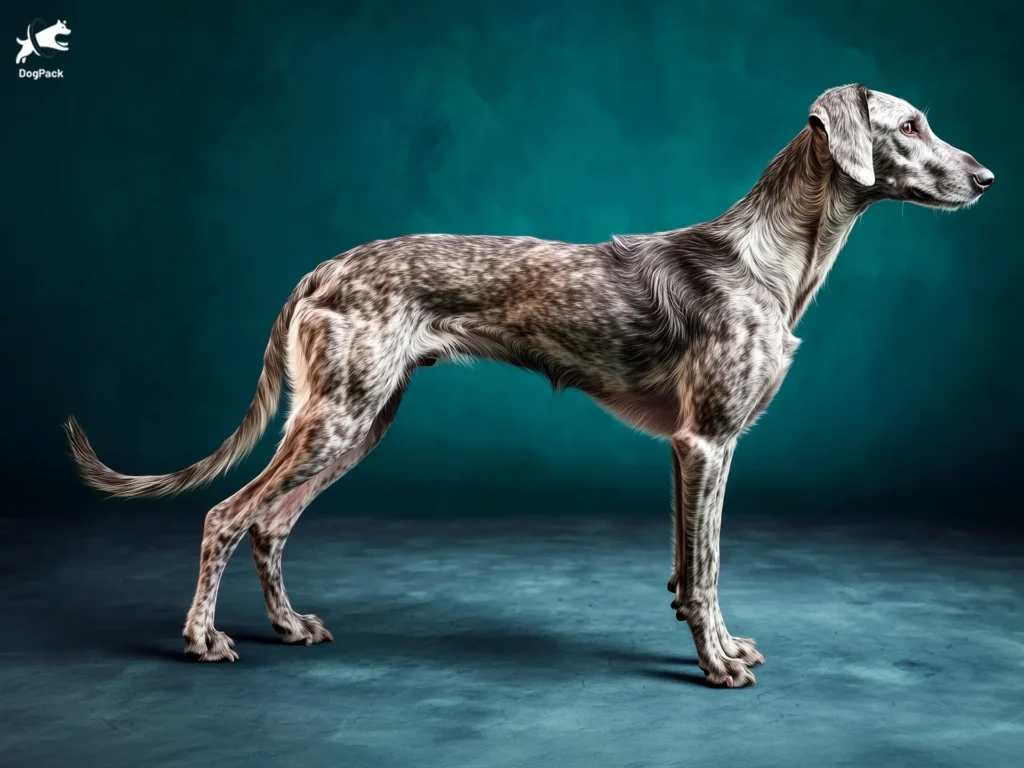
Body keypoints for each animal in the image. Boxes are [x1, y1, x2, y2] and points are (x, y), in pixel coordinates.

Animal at [64, 85, 991, 692]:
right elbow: (709, 568)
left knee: (271, 524)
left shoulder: (687, 452)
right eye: (912, 124)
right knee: (227, 516)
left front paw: (716, 645)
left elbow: (689, 569)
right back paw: (203, 641)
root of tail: (319, 269)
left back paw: (290, 628)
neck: (768, 259)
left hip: (360, 420)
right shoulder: (709, 443)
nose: (985, 178)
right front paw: (718, 664)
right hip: (337, 420)